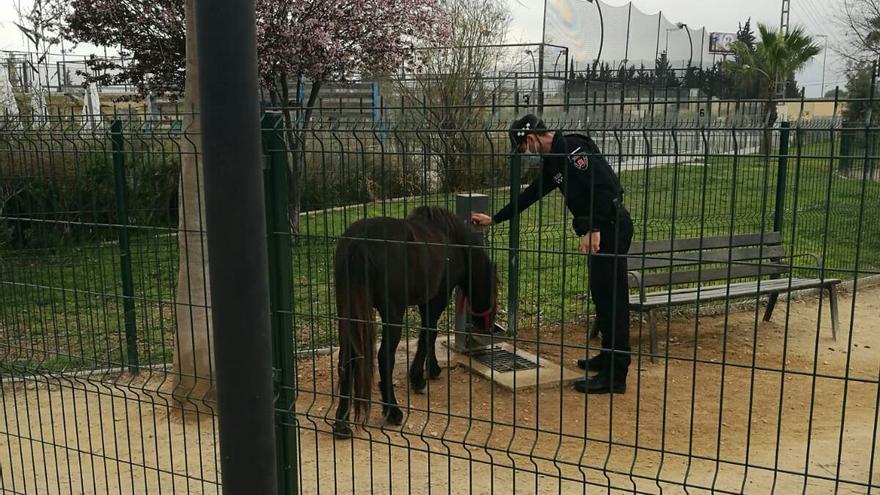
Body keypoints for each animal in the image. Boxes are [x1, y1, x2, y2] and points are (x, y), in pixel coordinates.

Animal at [332, 207, 496, 440]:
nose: (488, 327)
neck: (454, 242)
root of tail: (359, 241)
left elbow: (428, 333)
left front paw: (431, 369)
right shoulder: (438, 297)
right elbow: (430, 332)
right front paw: (419, 378)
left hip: (348, 314)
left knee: (348, 357)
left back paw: (342, 423)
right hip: (392, 314)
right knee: (384, 357)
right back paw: (393, 412)